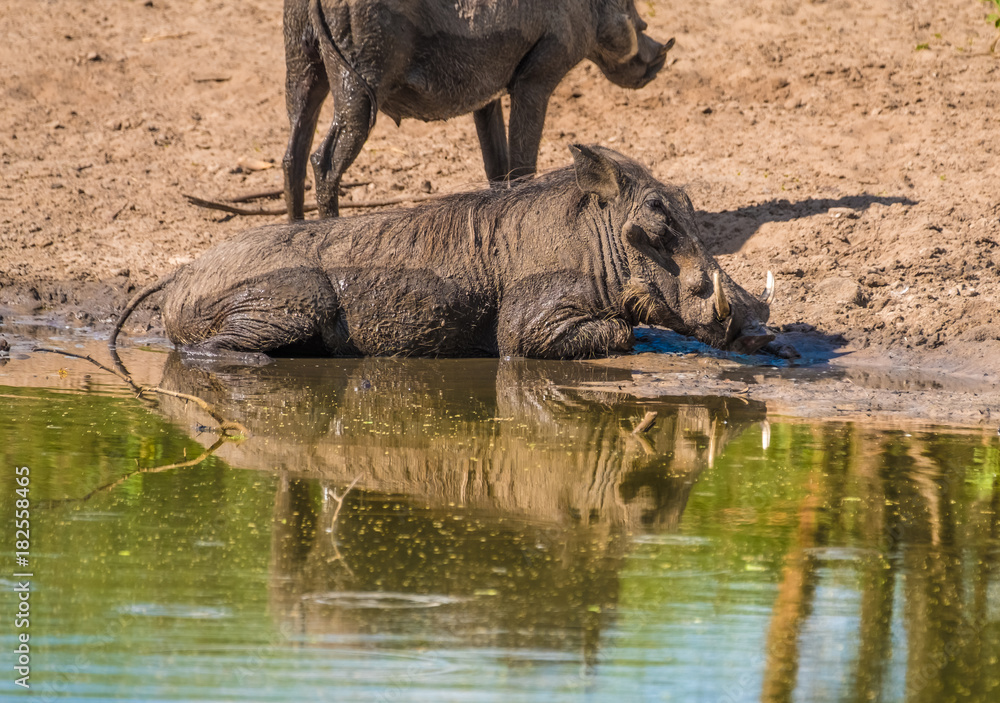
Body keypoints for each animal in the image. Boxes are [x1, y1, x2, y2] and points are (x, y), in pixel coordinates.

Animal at [110, 145, 775, 360]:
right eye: (656, 223)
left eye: (687, 201)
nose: (758, 326)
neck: (594, 243)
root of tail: (181, 275)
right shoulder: (531, 326)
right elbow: (620, 333)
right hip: (295, 301)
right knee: (210, 352)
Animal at [283, 0, 673, 219]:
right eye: (631, 9)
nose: (659, 61)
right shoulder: (536, 81)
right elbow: (522, 164)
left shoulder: (487, 99)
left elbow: (497, 168)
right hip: (359, 86)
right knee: (324, 162)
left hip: (303, 69)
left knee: (294, 155)